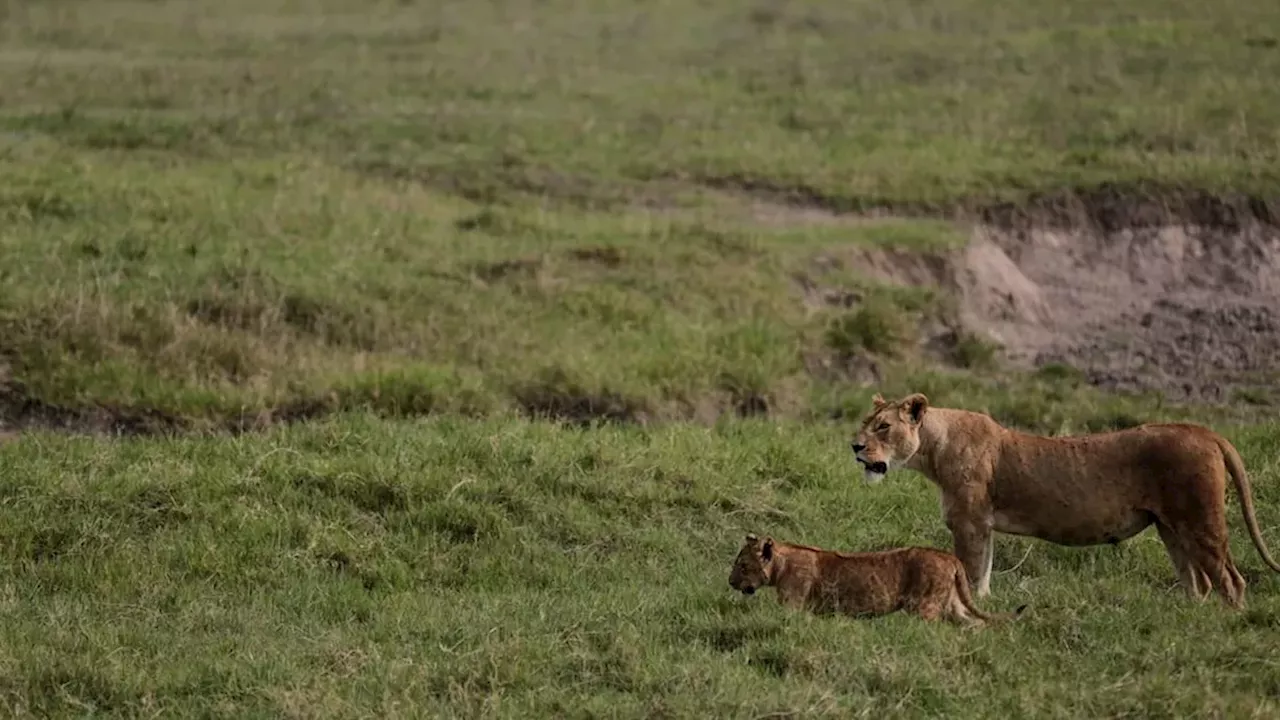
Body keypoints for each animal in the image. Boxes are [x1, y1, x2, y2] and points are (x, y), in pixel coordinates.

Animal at [727, 534, 1024, 626]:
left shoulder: (792, 603)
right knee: (974, 623)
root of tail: (950, 557)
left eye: (742, 565)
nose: (730, 582)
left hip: (924, 606)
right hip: (953, 604)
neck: (782, 562)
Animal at [849, 392, 1280, 609]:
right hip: (1171, 527)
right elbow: (983, 571)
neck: (934, 447)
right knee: (1198, 582)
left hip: (1200, 520)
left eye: (883, 427)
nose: (854, 446)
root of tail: (1206, 431)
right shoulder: (983, 525)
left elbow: (969, 570)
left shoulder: (968, 522)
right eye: (864, 425)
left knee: (1231, 580)